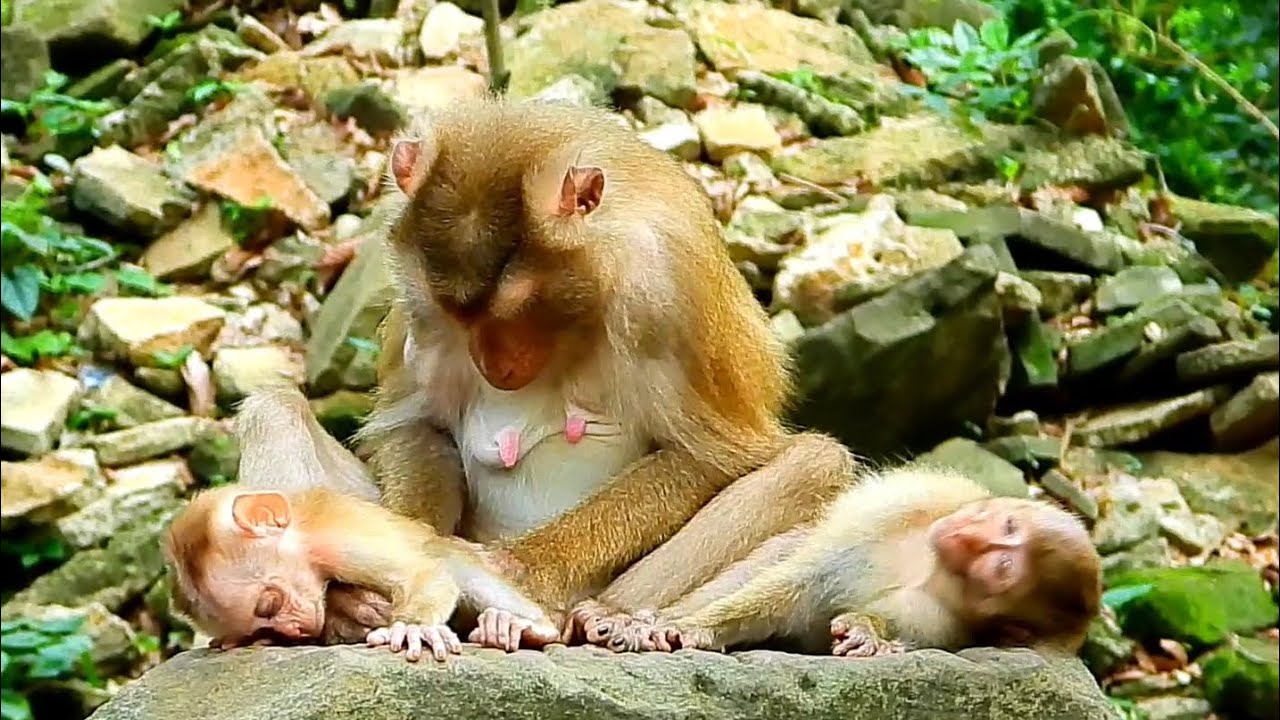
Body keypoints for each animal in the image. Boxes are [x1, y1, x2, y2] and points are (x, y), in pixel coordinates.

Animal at [163, 387, 560, 662]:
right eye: (262, 623)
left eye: (268, 606)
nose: (292, 629)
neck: (301, 529)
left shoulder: (337, 540)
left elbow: (425, 574)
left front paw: (413, 627)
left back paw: (529, 627)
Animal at [342, 96, 857, 640]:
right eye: (457, 315)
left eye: (519, 308)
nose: (494, 366)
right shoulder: (415, 301)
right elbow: (419, 423)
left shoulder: (670, 286)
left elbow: (712, 455)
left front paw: (516, 570)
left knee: (816, 463)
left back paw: (604, 615)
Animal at [576, 466, 1102, 657]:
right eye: (1007, 526)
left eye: (1001, 570)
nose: (971, 537)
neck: (927, 565)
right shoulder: (918, 500)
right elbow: (800, 580)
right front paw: (686, 626)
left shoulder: (941, 621)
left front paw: (867, 632)